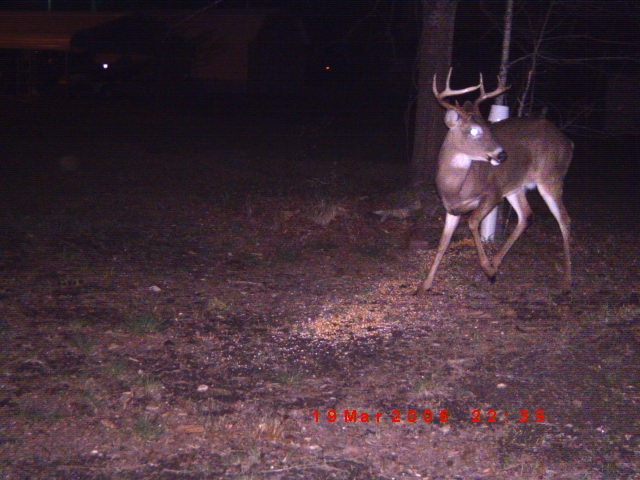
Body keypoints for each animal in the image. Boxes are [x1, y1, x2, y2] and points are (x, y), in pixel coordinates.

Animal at [415, 69, 572, 295]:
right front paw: (424, 285)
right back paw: (497, 261)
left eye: (490, 127)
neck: (455, 187)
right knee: (526, 216)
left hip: (551, 178)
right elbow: (443, 243)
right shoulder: (451, 208)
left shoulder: (493, 193)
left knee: (564, 220)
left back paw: (567, 282)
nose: (502, 155)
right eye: (474, 130)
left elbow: (472, 222)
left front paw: (487, 269)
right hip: (515, 186)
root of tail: (569, 143)